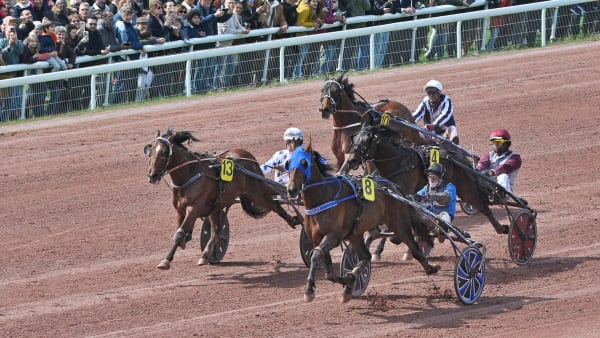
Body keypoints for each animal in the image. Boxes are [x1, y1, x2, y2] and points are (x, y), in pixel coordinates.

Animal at [145, 129, 302, 270]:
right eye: (150, 151)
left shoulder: (194, 208)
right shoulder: (180, 210)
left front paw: (166, 260)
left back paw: (295, 219)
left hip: (257, 192)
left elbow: (179, 234)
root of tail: (248, 157)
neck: (190, 174)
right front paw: (186, 239)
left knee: (275, 204)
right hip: (219, 205)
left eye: (165, 152)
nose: (152, 175)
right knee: (217, 231)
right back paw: (206, 255)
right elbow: (181, 230)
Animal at [284, 140, 438, 304]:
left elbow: (316, 255)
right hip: (355, 235)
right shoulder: (316, 237)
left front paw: (309, 290)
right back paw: (350, 283)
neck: (323, 197)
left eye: (304, 163)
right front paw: (346, 280)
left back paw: (430, 268)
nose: (291, 190)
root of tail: (393, 187)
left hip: (398, 223)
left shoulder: (333, 236)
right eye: (288, 163)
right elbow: (327, 270)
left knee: (413, 246)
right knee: (365, 256)